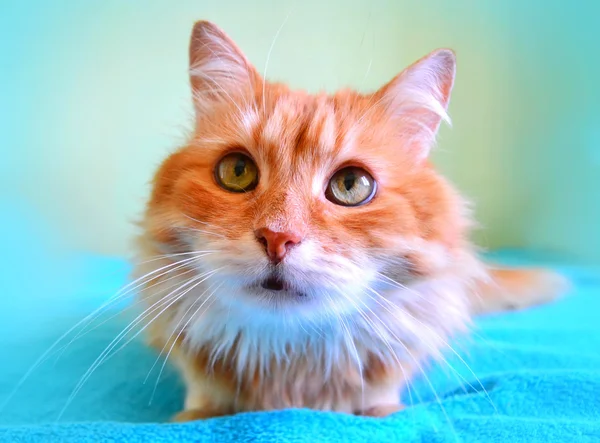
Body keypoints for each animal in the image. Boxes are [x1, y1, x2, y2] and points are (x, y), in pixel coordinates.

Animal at [132, 21, 568, 424]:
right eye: (237, 171)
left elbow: (382, 403)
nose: (277, 237)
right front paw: (196, 416)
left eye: (351, 185)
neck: (288, 367)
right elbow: (201, 405)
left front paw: (381, 412)